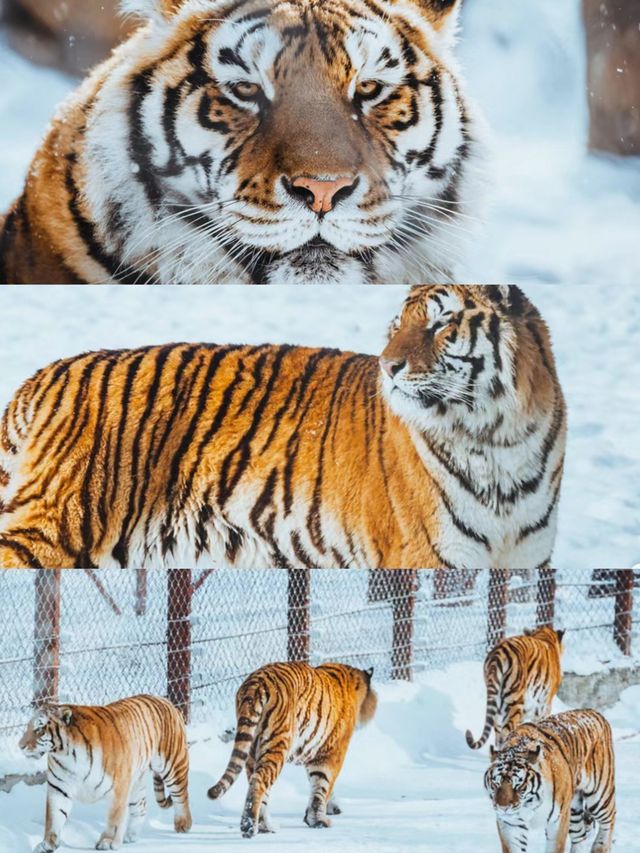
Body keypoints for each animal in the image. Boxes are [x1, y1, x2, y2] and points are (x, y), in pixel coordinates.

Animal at [0, 282, 564, 568]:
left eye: (442, 322)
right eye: (395, 326)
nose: (389, 366)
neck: (499, 442)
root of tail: (44, 375)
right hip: (59, 528)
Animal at [17, 692, 191, 852]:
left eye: (39, 729)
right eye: (28, 727)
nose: (20, 746)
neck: (67, 754)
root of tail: (165, 700)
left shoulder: (119, 786)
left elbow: (114, 817)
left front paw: (107, 841)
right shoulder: (59, 788)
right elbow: (54, 817)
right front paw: (47, 844)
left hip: (173, 765)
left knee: (181, 795)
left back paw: (183, 825)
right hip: (137, 780)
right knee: (141, 805)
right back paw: (131, 836)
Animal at [208, 664, 378, 836]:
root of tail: (257, 682)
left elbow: (320, 786)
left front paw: (329, 809)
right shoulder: (331, 753)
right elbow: (323, 786)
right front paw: (318, 820)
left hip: (252, 750)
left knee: (257, 785)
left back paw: (265, 826)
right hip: (276, 746)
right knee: (259, 782)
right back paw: (249, 826)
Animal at [484, 708, 616, 852]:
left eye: (519, 787)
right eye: (495, 784)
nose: (503, 808)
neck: (530, 804)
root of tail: (594, 712)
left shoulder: (558, 821)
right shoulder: (511, 825)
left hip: (599, 795)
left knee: (610, 818)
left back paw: (600, 847)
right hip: (574, 808)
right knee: (580, 836)